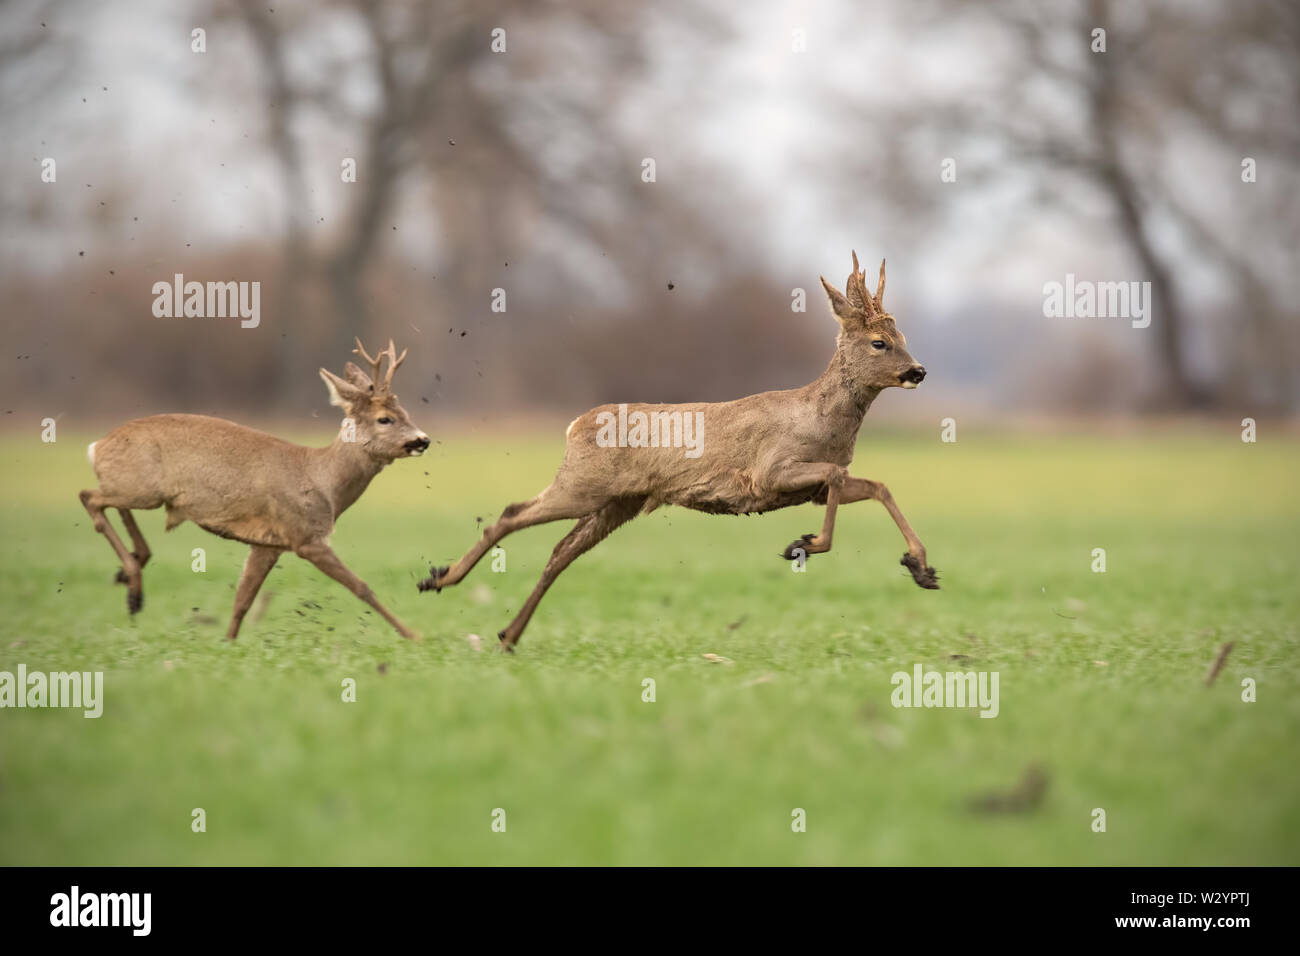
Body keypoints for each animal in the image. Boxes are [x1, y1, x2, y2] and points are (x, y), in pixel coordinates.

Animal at [78, 340, 428, 639]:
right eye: (384, 419)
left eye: (406, 413)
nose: (423, 439)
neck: (322, 481)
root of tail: (97, 446)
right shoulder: (305, 537)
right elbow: (361, 587)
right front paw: (413, 635)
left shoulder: (267, 544)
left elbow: (242, 600)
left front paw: (228, 642)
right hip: (142, 489)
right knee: (89, 497)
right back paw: (134, 589)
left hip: (139, 489)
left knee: (106, 500)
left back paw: (131, 570)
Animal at [421, 251, 941, 650]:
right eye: (879, 342)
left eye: (904, 338)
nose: (918, 370)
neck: (821, 420)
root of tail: (574, 425)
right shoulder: (769, 472)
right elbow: (838, 479)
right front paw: (805, 544)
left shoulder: (809, 487)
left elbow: (875, 484)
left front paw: (921, 568)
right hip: (583, 485)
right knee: (513, 513)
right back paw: (440, 580)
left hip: (619, 502)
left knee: (561, 549)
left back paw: (507, 633)